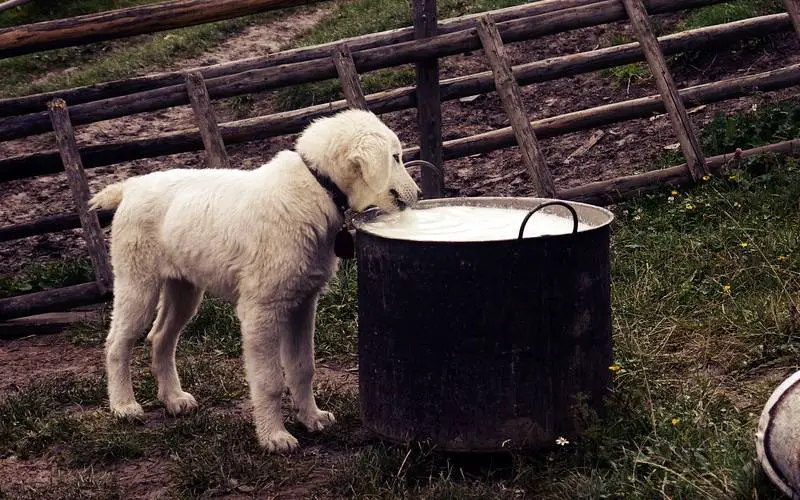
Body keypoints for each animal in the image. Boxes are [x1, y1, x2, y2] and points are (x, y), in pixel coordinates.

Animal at [89, 109, 418, 454]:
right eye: (395, 157)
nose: (419, 195)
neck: (317, 186)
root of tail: (132, 185)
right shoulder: (262, 310)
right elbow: (270, 380)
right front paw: (274, 436)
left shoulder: (303, 302)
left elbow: (303, 368)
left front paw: (311, 418)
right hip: (137, 282)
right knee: (118, 343)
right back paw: (124, 406)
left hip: (184, 288)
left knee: (160, 338)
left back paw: (174, 399)